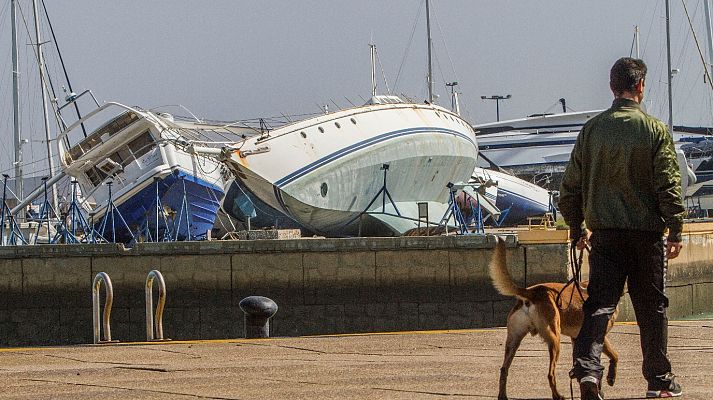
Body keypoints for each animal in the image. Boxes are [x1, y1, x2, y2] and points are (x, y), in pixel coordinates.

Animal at [490, 238, 616, 400]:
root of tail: (531, 292)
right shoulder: (600, 336)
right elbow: (614, 356)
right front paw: (609, 378)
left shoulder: (577, 339)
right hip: (554, 340)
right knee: (550, 374)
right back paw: (557, 395)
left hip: (513, 341)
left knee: (504, 369)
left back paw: (502, 395)